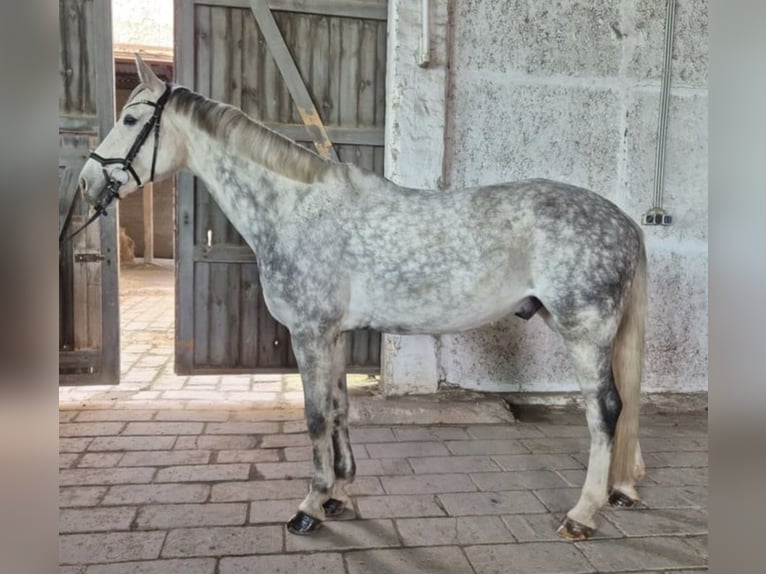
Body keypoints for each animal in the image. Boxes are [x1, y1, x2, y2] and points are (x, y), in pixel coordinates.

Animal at [76, 55, 647, 539]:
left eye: (130, 118)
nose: (86, 183)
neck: (296, 208)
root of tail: (624, 220)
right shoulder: (335, 335)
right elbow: (339, 409)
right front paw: (340, 495)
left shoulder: (308, 333)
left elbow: (313, 416)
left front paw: (310, 506)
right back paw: (619, 491)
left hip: (585, 332)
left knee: (605, 411)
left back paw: (582, 514)